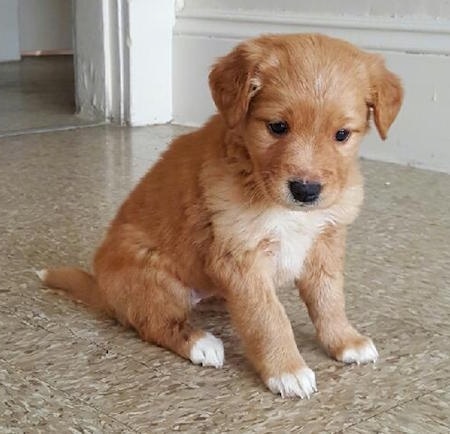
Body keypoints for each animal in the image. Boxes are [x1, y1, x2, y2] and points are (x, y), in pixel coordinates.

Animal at [38, 34, 402, 400]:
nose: (306, 190)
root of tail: (103, 288)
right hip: (152, 274)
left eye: (342, 134)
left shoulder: (325, 243)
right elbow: (268, 317)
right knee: (155, 323)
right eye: (277, 127)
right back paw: (201, 343)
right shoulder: (239, 258)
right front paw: (286, 369)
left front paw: (345, 340)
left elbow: (329, 299)